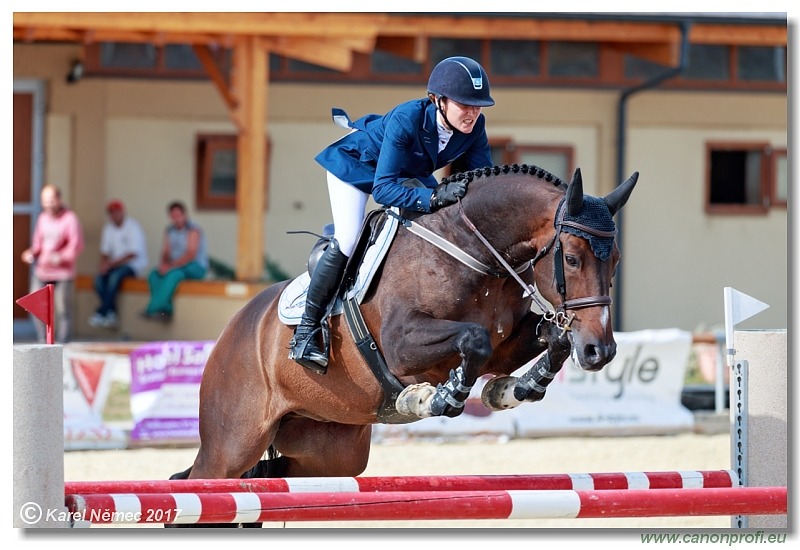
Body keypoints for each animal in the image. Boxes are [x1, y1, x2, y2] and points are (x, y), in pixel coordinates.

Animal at [169, 164, 636, 528]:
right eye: (572, 259)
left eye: (615, 261)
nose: (600, 351)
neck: (473, 252)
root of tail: (234, 329)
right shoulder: (401, 343)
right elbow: (474, 340)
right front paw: (436, 397)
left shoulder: (509, 342)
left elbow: (546, 341)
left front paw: (513, 389)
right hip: (232, 443)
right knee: (202, 482)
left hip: (329, 450)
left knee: (272, 478)